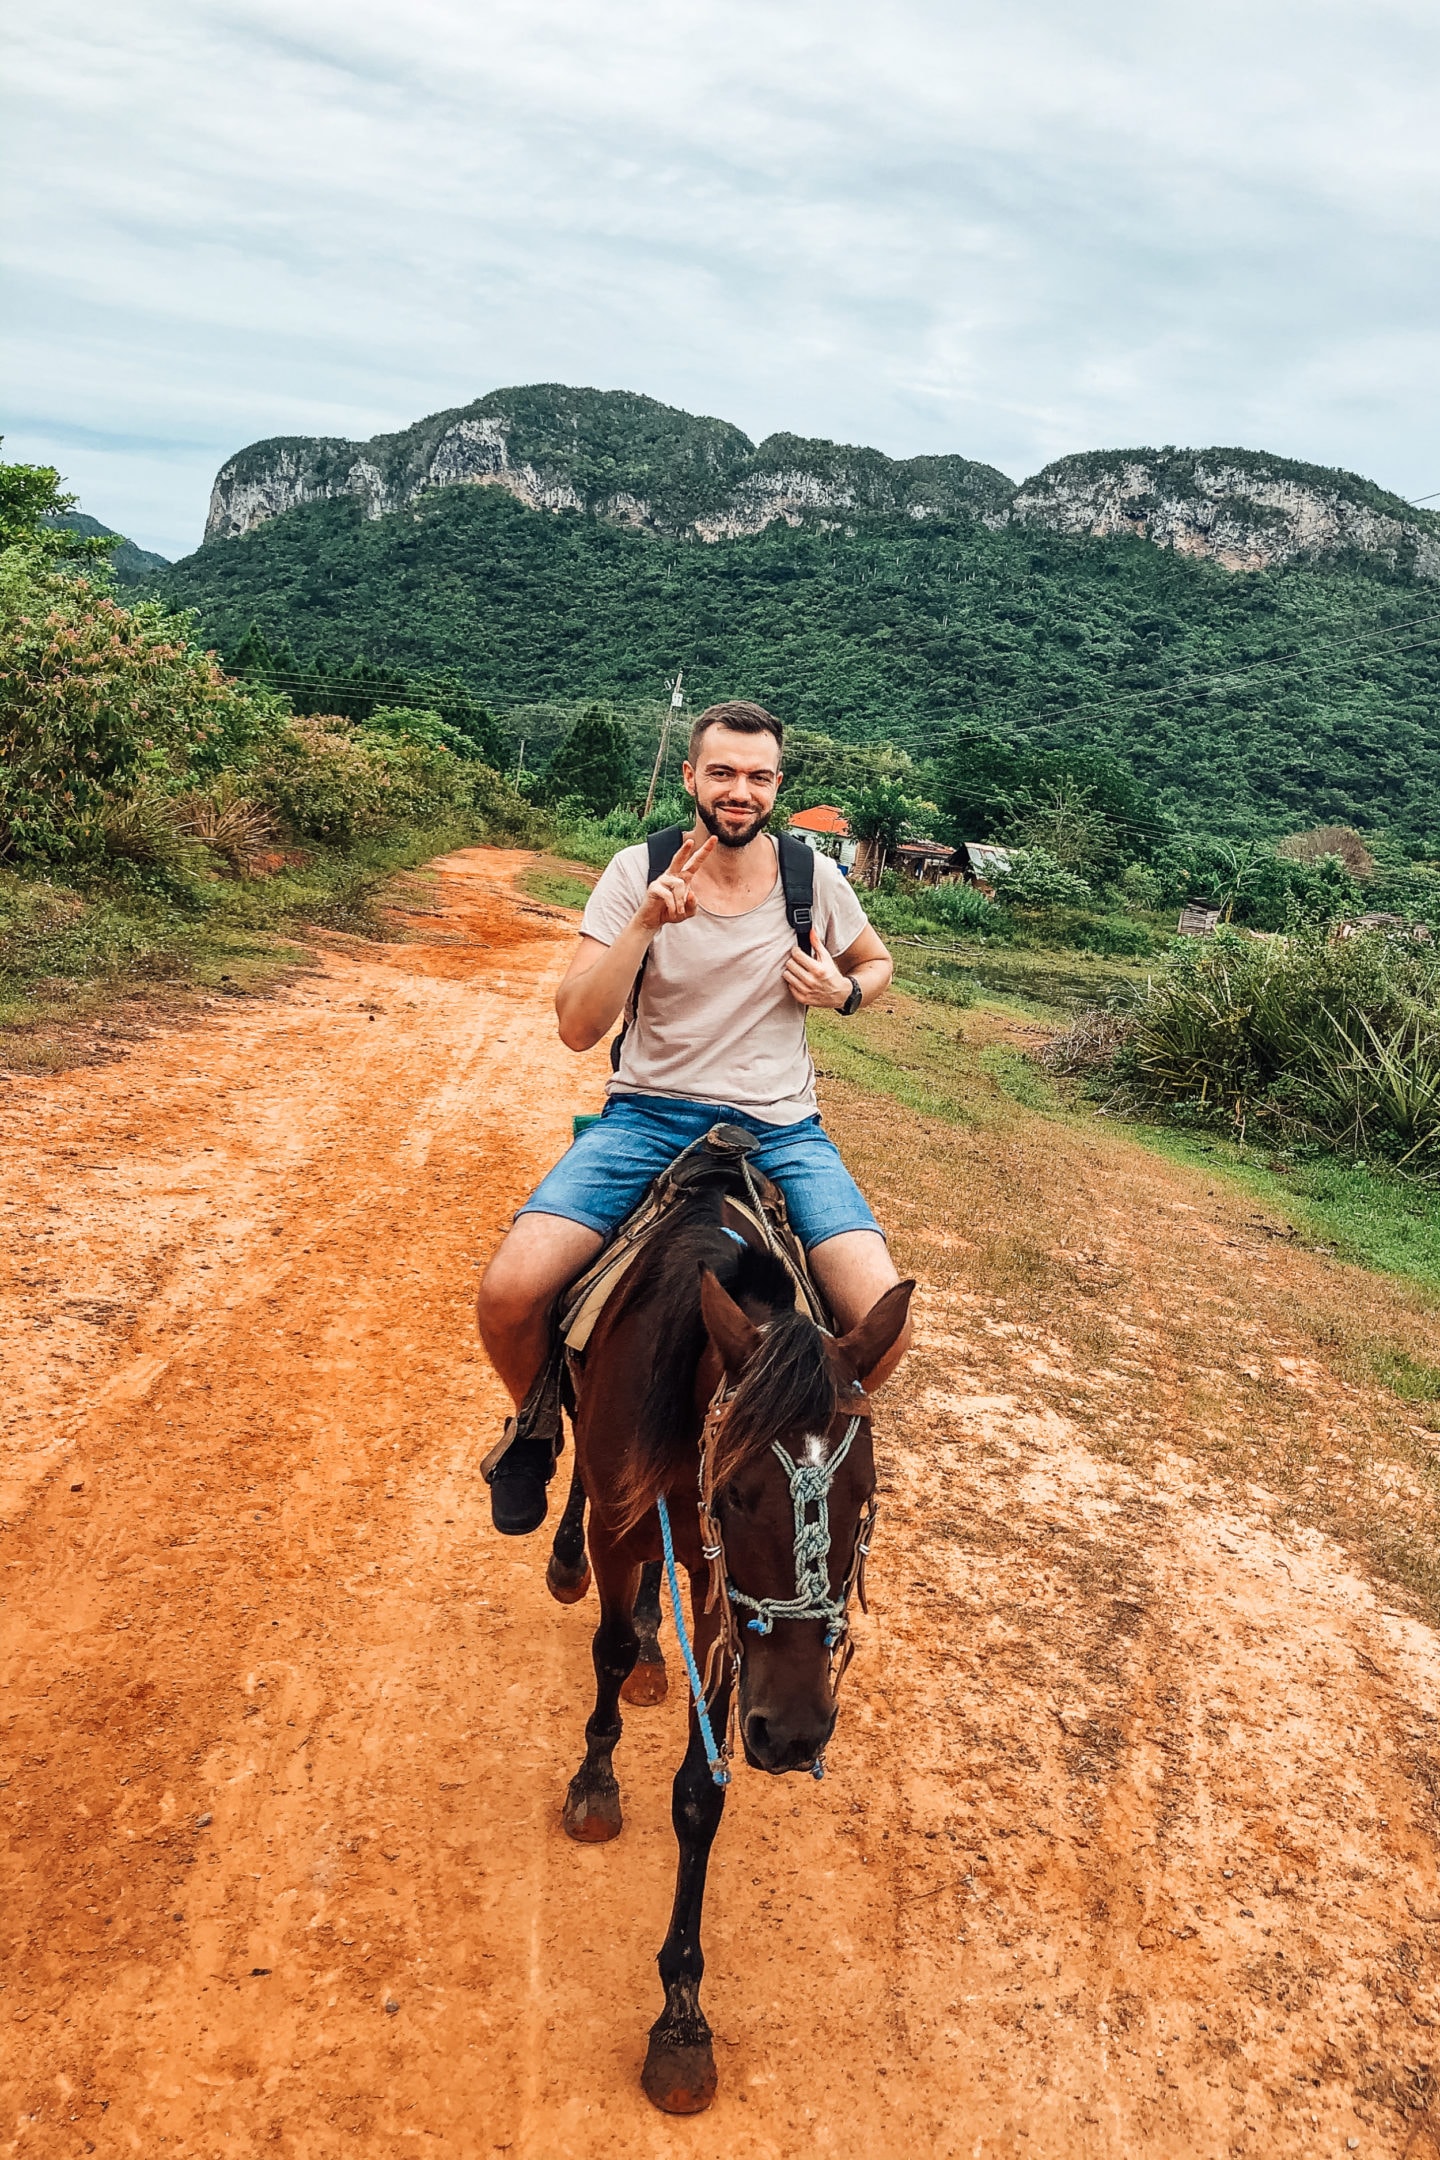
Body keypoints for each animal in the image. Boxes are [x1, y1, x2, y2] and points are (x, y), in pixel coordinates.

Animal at [539, 1175, 911, 2116]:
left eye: (866, 1496)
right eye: (740, 1493)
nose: (795, 1733)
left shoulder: (720, 1595)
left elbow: (700, 1792)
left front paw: (681, 2019)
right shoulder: (624, 1526)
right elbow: (602, 1647)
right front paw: (594, 1783)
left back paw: (651, 1648)